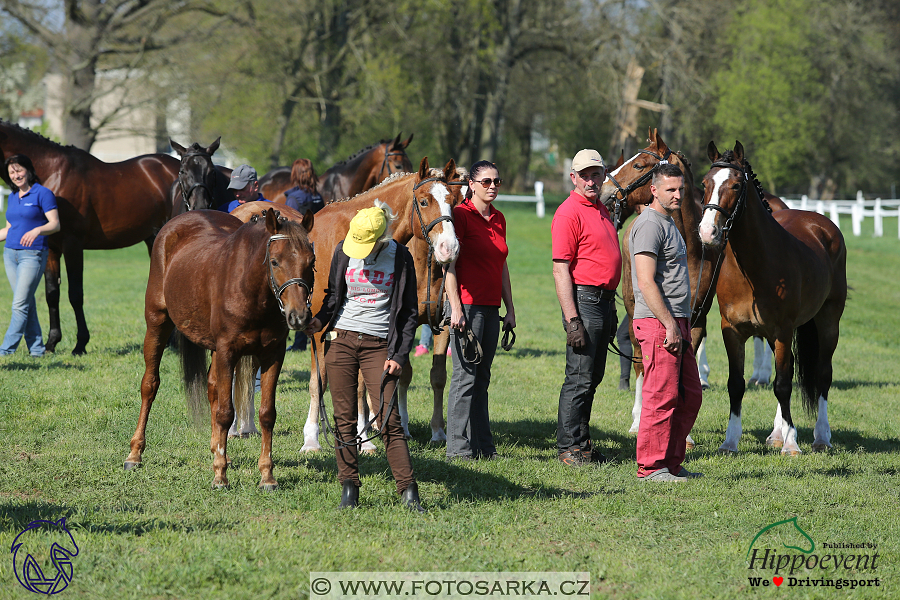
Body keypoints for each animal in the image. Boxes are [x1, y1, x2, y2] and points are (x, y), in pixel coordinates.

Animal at [0, 119, 183, 354]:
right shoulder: (51, 248)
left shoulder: (73, 244)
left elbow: (75, 294)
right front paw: (52, 342)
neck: (52, 173)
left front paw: (80, 344)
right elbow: (52, 294)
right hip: (154, 239)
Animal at [122, 209, 312, 490]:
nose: (298, 316)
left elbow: (267, 414)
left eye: (311, 261)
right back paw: (135, 454)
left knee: (211, 388)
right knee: (150, 385)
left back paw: (218, 451)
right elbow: (225, 412)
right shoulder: (227, 352)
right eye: (275, 262)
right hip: (157, 322)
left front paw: (266, 475)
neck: (252, 290)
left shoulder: (273, 354)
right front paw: (220, 476)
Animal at [696, 142, 844, 454]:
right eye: (704, 183)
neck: (754, 266)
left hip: (828, 321)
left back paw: (821, 436)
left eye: (736, 185)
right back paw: (777, 433)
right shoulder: (732, 331)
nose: (707, 232)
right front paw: (730, 441)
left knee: (822, 375)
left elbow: (783, 385)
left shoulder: (782, 331)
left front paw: (792, 444)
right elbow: (736, 384)